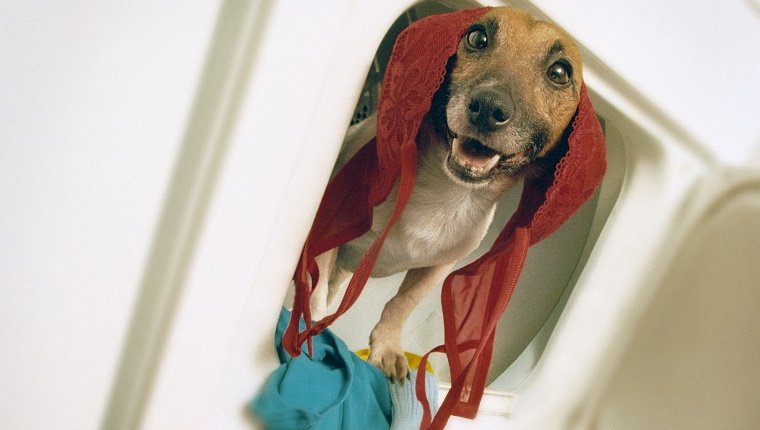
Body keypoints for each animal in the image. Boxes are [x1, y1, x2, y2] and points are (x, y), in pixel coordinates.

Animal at [308, 6, 580, 382]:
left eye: (559, 72)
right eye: (477, 37)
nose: (488, 107)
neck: (445, 191)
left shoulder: (437, 267)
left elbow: (400, 304)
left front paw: (386, 347)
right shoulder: (330, 227)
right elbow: (317, 286)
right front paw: (308, 327)